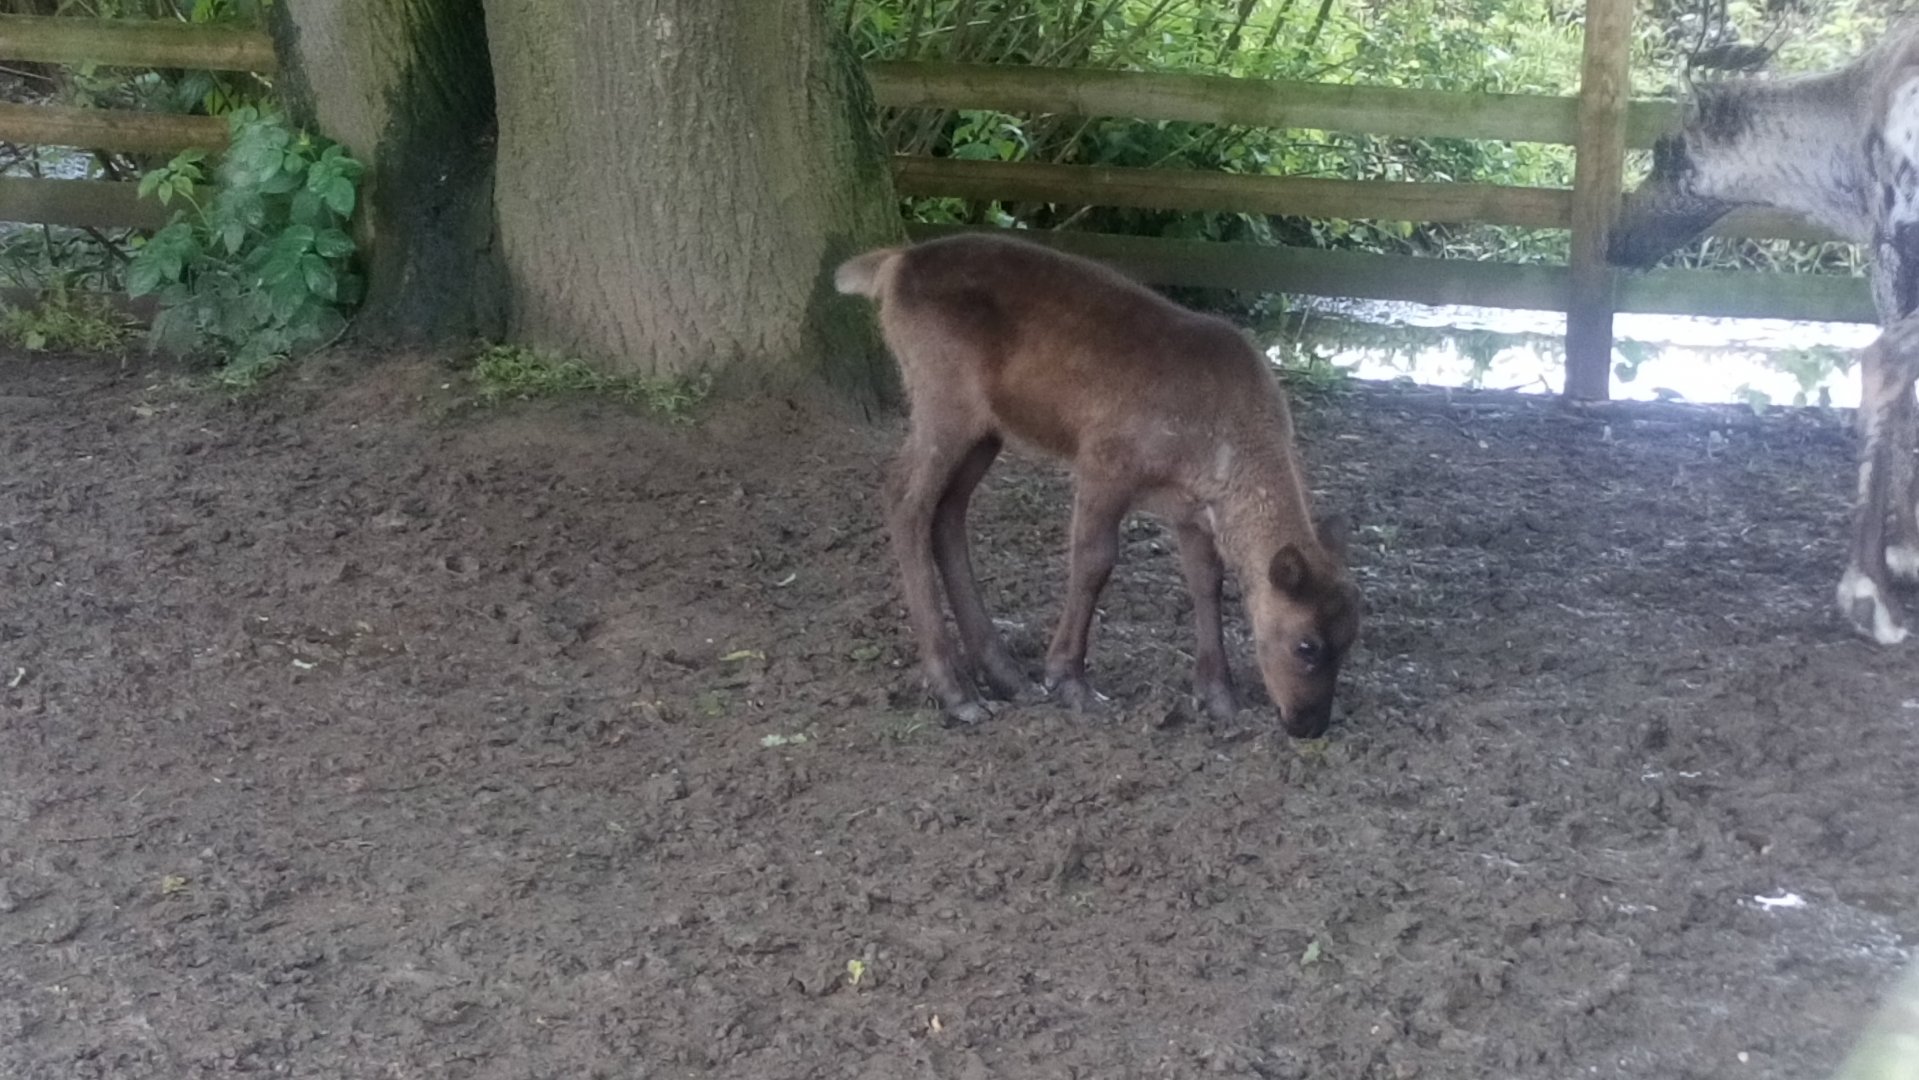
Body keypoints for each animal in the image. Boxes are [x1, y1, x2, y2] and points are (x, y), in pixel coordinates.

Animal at [835, 232, 1362, 738]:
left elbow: (1206, 583)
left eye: (1352, 639)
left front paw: (1219, 696)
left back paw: (1005, 675)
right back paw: (956, 691)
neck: (1224, 453)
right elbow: (1093, 563)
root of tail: (892, 263)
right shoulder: (1104, 462)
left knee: (948, 510)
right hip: (942, 398)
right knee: (905, 498)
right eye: (1306, 645)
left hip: (986, 429)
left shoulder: (1190, 510)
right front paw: (1069, 679)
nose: (1309, 725)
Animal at [1609, 20, 1919, 645]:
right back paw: (1871, 596)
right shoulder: (1891, 250)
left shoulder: (1887, 251)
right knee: (1885, 362)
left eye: (1664, 150)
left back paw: (1869, 593)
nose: (1617, 237)